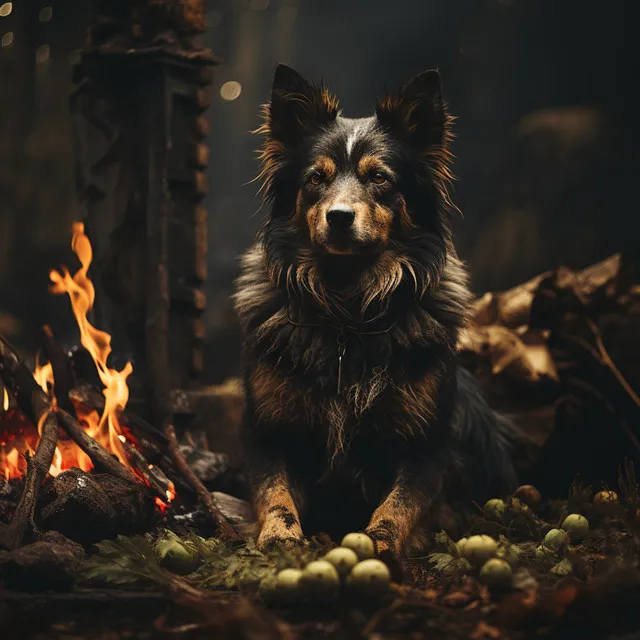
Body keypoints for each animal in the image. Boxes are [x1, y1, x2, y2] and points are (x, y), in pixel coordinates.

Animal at [232, 65, 516, 564]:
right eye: (316, 179)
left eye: (379, 177)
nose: (339, 217)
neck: (347, 310)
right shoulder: (265, 433)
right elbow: (275, 491)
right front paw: (280, 536)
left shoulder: (428, 446)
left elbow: (401, 502)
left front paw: (380, 541)